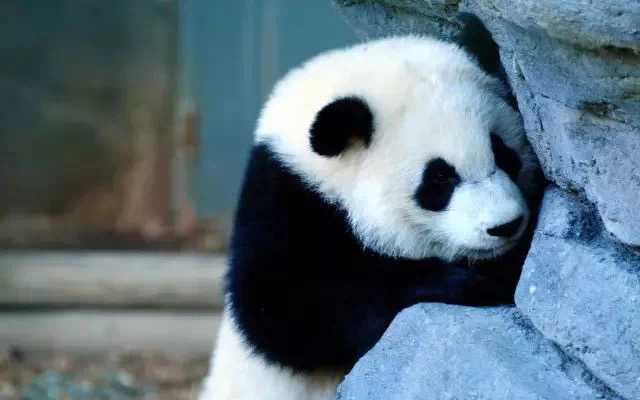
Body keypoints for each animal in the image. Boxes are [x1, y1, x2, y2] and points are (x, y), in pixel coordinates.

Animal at [200, 15, 542, 400]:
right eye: (439, 179)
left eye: (502, 152)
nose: (505, 225)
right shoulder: (284, 201)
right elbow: (287, 313)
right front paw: (465, 283)